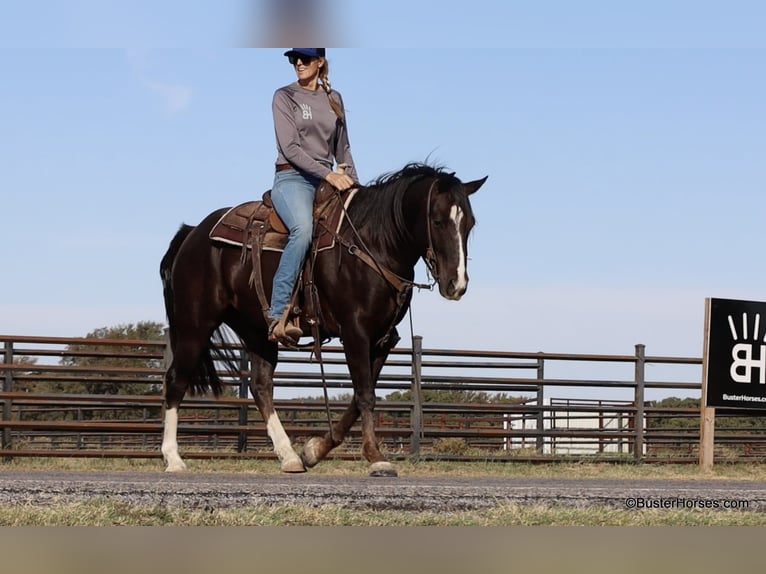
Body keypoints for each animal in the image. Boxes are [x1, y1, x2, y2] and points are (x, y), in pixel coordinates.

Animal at [159, 163, 486, 477]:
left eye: (469, 223)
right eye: (438, 221)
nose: (456, 284)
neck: (373, 243)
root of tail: (192, 233)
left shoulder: (383, 338)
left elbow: (359, 396)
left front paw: (314, 450)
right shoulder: (355, 332)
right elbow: (365, 395)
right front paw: (376, 458)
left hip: (257, 331)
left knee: (261, 386)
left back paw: (290, 456)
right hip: (194, 325)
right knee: (176, 380)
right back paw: (173, 458)